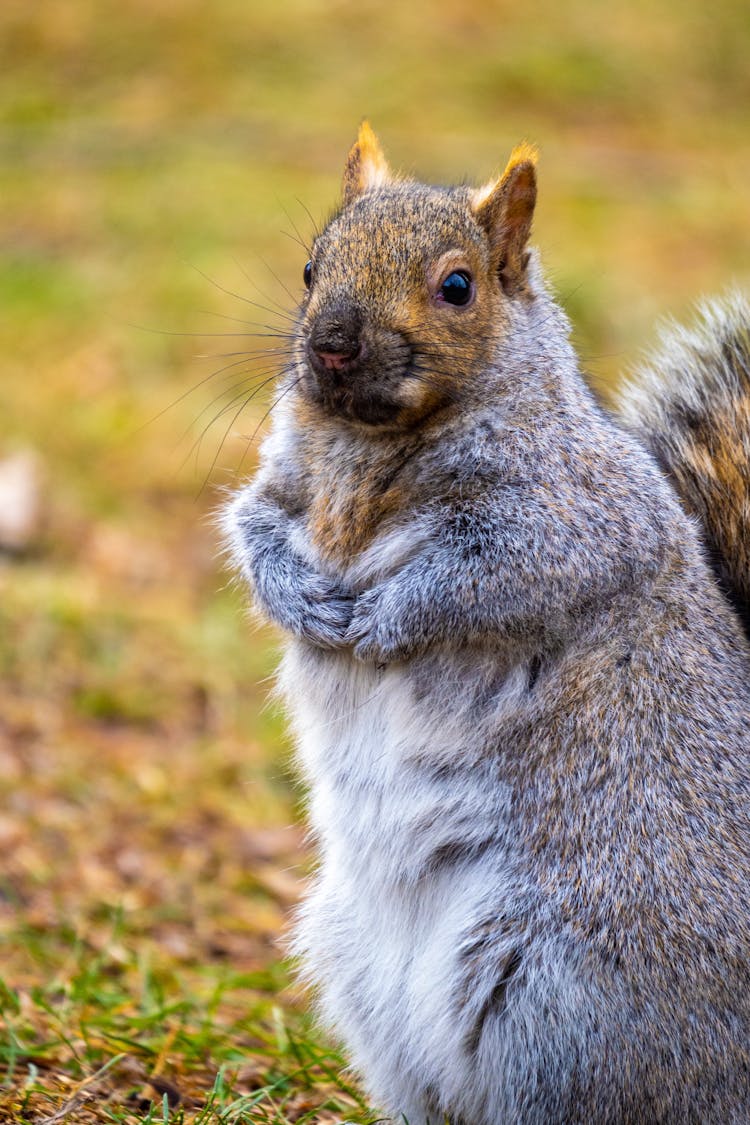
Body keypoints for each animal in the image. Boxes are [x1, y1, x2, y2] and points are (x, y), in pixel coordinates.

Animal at [226, 125, 750, 1125]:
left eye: (458, 286)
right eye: (311, 268)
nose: (331, 345)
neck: (368, 445)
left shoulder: (575, 521)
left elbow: (486, 577)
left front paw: (385, 618)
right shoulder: (281, 488)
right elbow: (253, 526)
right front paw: (301, 597)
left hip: (560, 997)